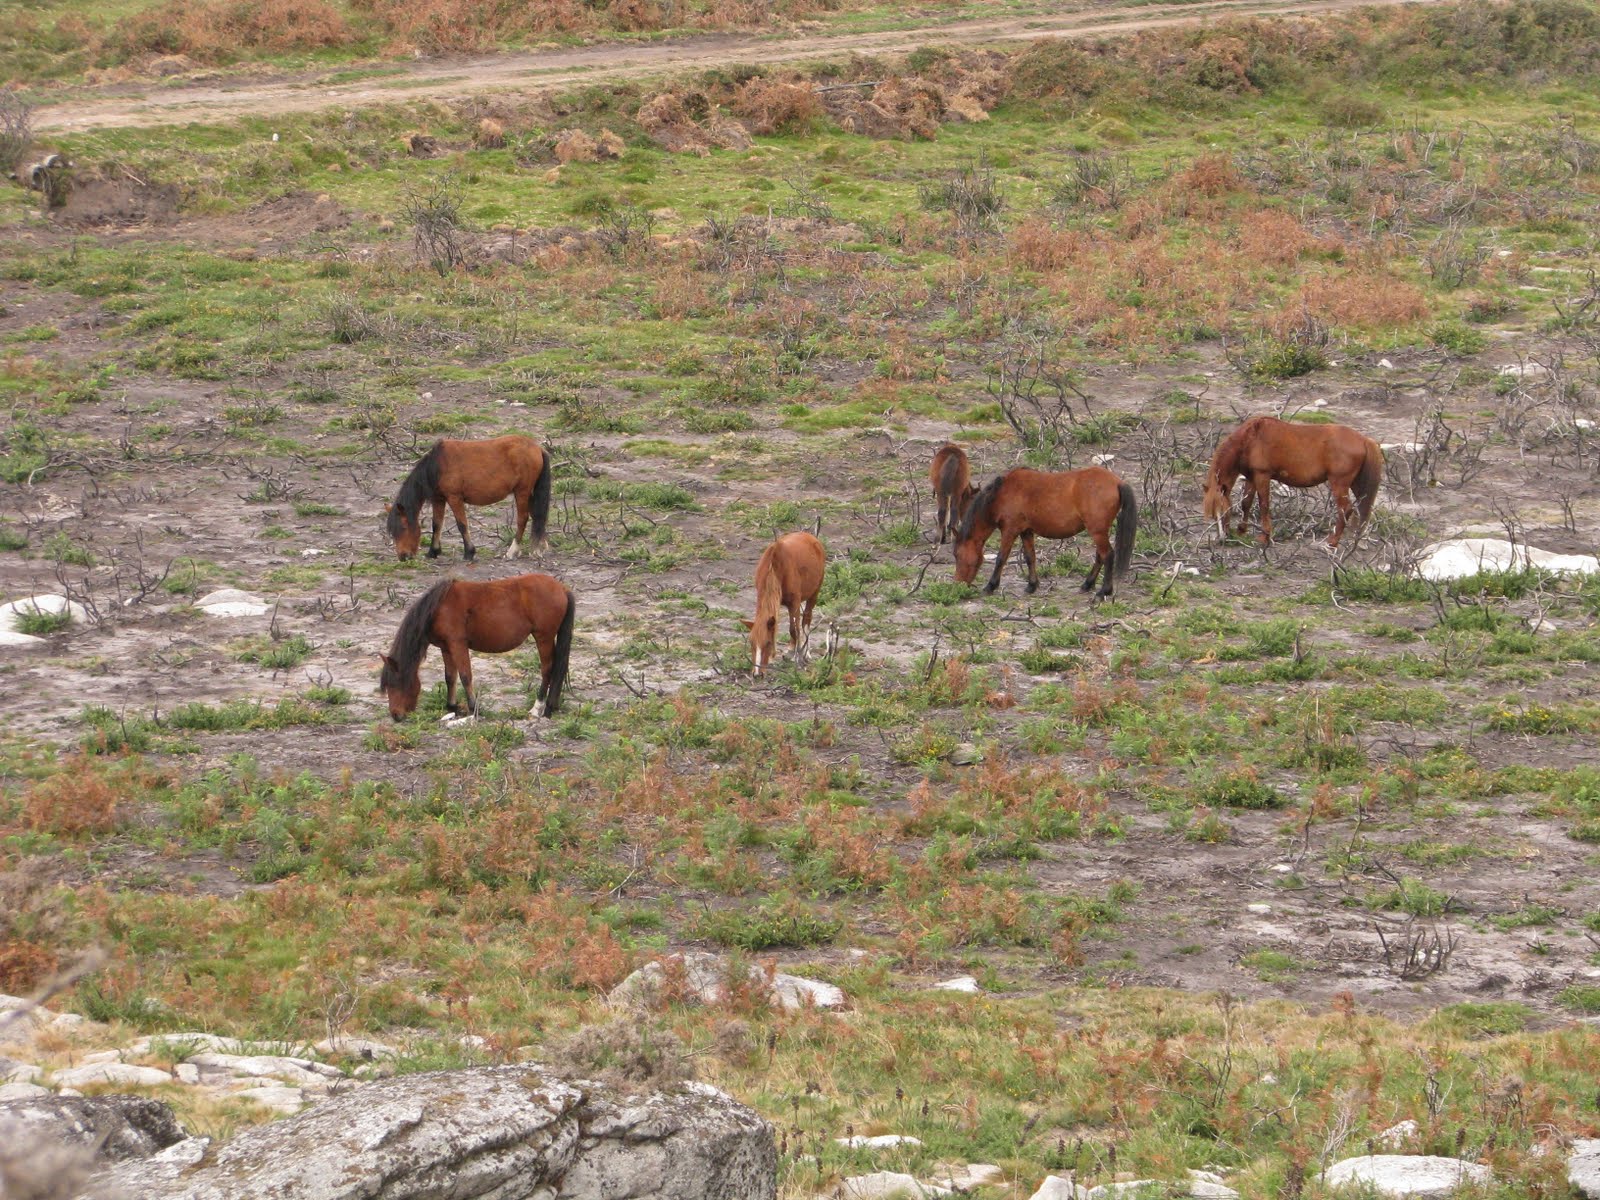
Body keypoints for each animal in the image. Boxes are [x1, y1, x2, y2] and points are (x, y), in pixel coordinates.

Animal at [378, 573, 574, 722]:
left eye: (394, 683)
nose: (395, 715)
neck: (438, 608)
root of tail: (562, 588)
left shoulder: (458, 644)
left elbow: (465, 676)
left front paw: (473, 708)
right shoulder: (446, 647)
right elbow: (450, 677)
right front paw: (452, 707)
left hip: (543, 637)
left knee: (548, 670)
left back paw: (539, 707)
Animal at [386, 435, 552, 562]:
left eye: (404, 527)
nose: (403, 556)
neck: (437, 466)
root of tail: (538, 448)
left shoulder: (454, 498)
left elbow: (462, 525)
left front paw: (469, 552)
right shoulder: (439, 499)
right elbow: (436, 524)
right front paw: (433, 552)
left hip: (522, 492)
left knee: (523, 519)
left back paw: (512, 551)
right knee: (537, 516)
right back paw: (540, 548)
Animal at [742, 531, 826, 676]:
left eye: (768, 643)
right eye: (751, 643)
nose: (757, 674)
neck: (775, 566)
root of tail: (810, 537)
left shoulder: (795, 602)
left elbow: (794, 629)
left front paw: (796, 655)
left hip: (814, 593)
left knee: (806, 619)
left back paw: (806, 652)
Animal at [954, 466, 1137, 599]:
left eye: (957, 555)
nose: (959, 584)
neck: (1002, 493)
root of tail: (1117, 482)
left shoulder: (1009, 531)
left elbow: (1001, 559)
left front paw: (990, 586)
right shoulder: (1026, 531)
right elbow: (1030, 557)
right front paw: (1031, 586)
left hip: (1097, 531)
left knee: (1108, 555)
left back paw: (1103, 591)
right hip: (1099, 532)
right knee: (1100, 556)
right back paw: (1087, 584)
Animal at [1202, 416, 1384, 548]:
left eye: (1224, 511)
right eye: (1213, 515)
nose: (1222, 539)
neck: (1250, 439)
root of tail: (1364, 440)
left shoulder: (1262, 476)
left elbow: (1264, 504)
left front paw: (1265, 537)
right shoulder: (1252, 477)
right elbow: (1246, 503)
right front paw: (1241, 530)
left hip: (1339, 484)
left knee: (1346, 509)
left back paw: (1332, 541)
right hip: (1357, 485)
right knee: (1362, 509)